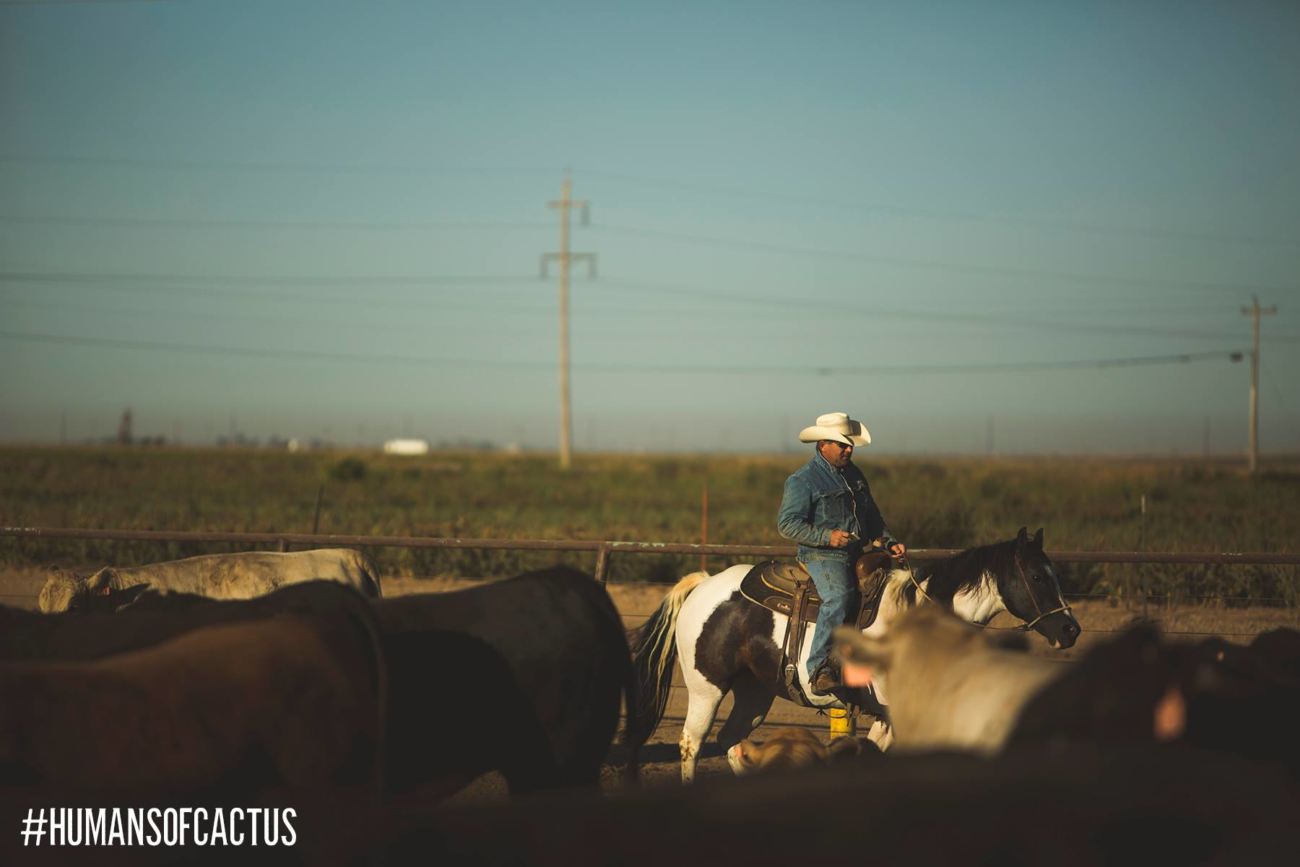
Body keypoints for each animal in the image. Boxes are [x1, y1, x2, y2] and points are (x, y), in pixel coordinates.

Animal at [624, 525, 1081, 785]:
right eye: (1037, 576)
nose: (1071, 630)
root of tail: (705, 583)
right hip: (707, 686)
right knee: (693, 742)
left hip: (755, 691)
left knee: (731, 739)